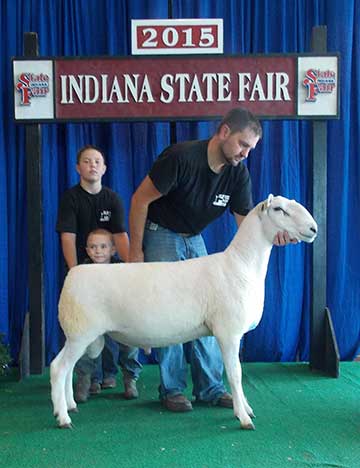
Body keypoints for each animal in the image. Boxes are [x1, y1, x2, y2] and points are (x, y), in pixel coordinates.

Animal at [51, 194, 318, 428]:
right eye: (279, 210)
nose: (314, 229)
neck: (240, 265)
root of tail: (72, 275)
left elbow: (233, 372)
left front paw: (245, 408)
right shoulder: (229, 332)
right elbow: (235, 374)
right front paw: (243, 417)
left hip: (79, 335)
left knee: (68, 368)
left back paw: (70, 405)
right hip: (81, 332)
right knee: (59, 368)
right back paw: (63, 418)